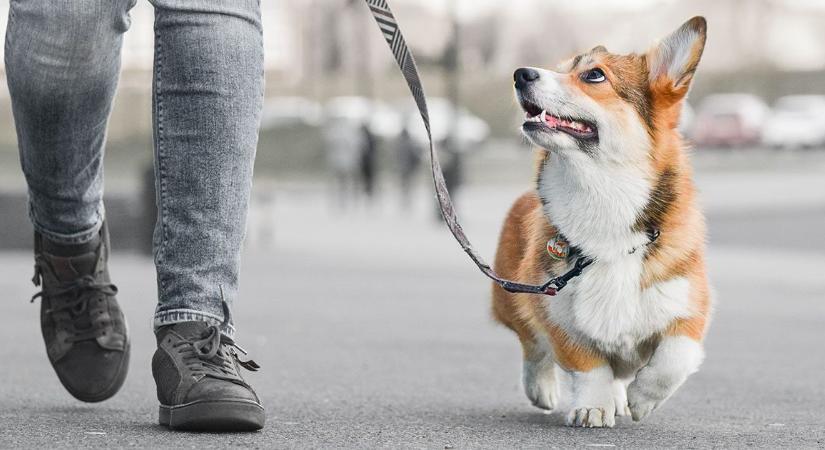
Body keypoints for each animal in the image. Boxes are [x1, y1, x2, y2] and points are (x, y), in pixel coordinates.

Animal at [492, 15, 712, 428]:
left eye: (594, 75)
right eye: (560, 68)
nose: (520, 73)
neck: (603, 196)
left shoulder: (689, 307)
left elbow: (674, 358)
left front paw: (642, 398)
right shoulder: (555, 310)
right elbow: (589, 366)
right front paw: (593, 406)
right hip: (512, 297)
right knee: (532, 346)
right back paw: (542, 388)